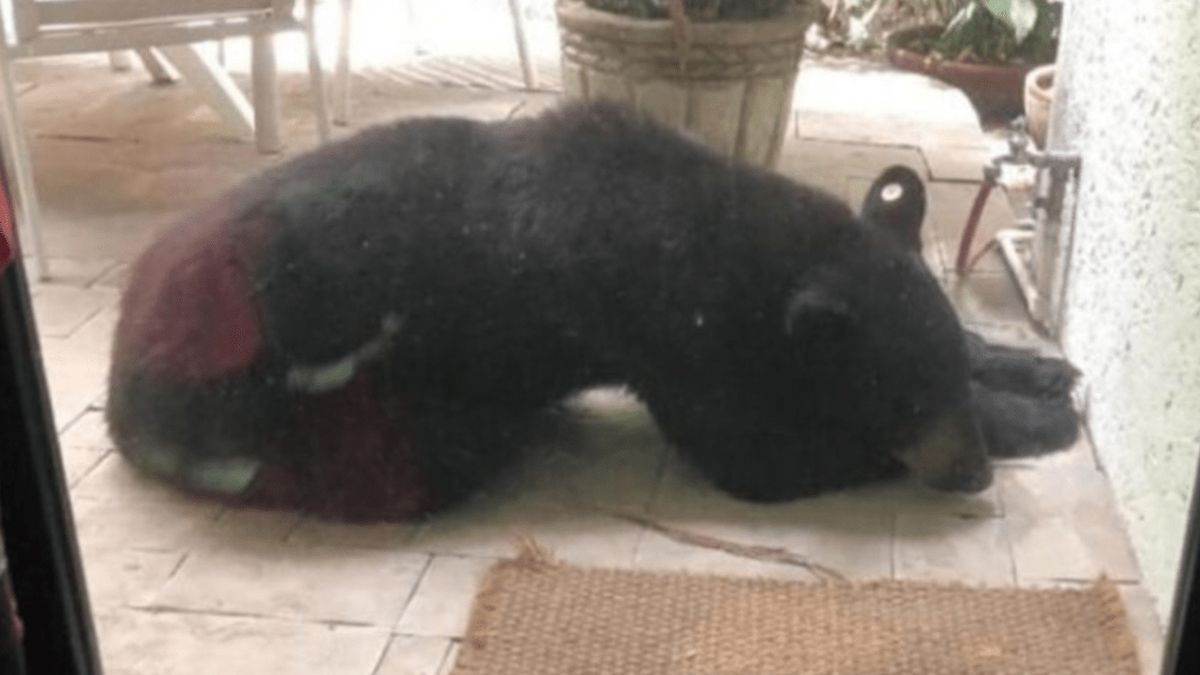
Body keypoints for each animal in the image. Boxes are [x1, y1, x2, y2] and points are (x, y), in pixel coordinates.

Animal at [107, 100, 993, 522]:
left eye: (956, 366)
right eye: (907, 392)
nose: (974, 470)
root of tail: (120, 389)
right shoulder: (670, 335)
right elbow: (753, 461)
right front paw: (869, 454)